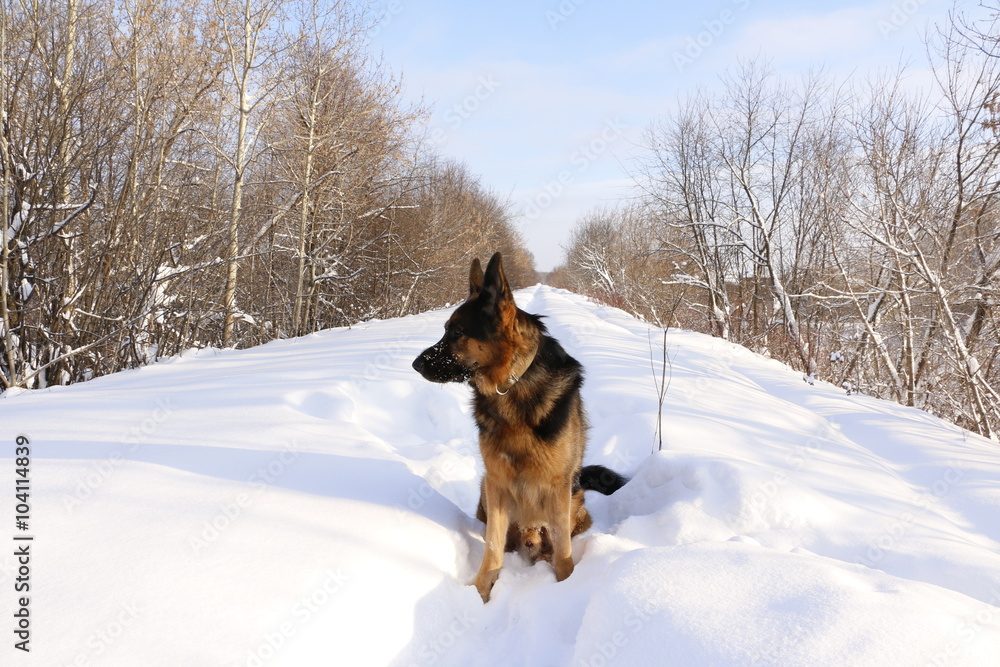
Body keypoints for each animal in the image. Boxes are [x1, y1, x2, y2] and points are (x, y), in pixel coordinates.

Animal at [410, 253, 620, 604]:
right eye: (446, 330)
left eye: (457, 332)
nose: (415, 364)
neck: (512, 384)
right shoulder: (497, 484)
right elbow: (493, 549)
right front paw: (479, 591)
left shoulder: (557, 488)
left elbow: (563, 551)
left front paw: (567, 587)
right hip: (485, 490)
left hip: (574, 500)